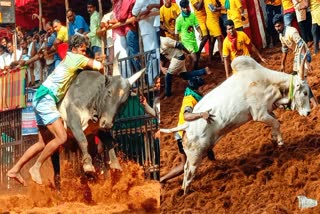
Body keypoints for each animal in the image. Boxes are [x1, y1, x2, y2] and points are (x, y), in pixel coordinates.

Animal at [161, 55, 312, 194]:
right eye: (304, 93)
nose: (309, 112)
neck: (269, 83)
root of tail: (187, 126)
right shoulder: (259, 114)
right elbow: (276, 123)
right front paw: (280, 141)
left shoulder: (267, 111)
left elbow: (275, 122)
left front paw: (275, 138)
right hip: (195, 156)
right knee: (188, 173)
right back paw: (187, 193)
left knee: (186, 170)